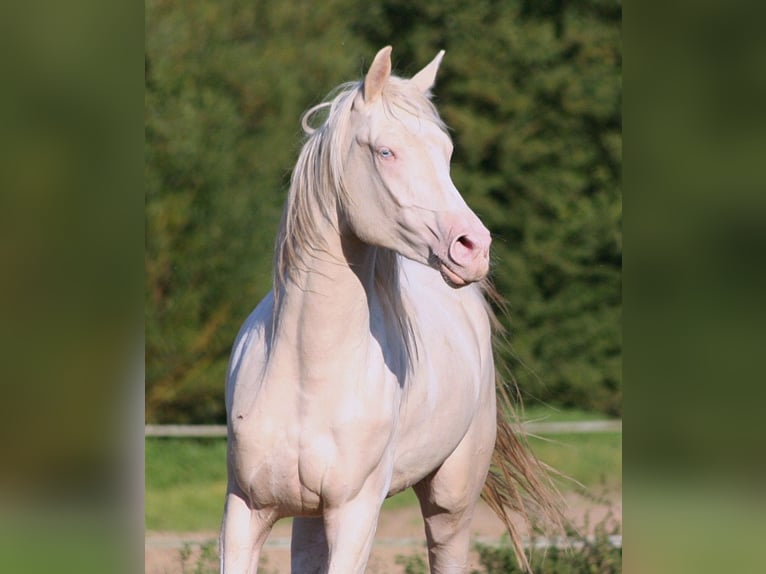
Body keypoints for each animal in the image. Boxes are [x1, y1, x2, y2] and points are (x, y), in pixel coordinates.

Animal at [219, 46, 560, 574]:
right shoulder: (245, 512)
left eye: (446, 153)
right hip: (309, 517)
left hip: (449, 502)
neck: (305, 373)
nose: (473, 247)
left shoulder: (356, 515)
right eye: (385, 152)